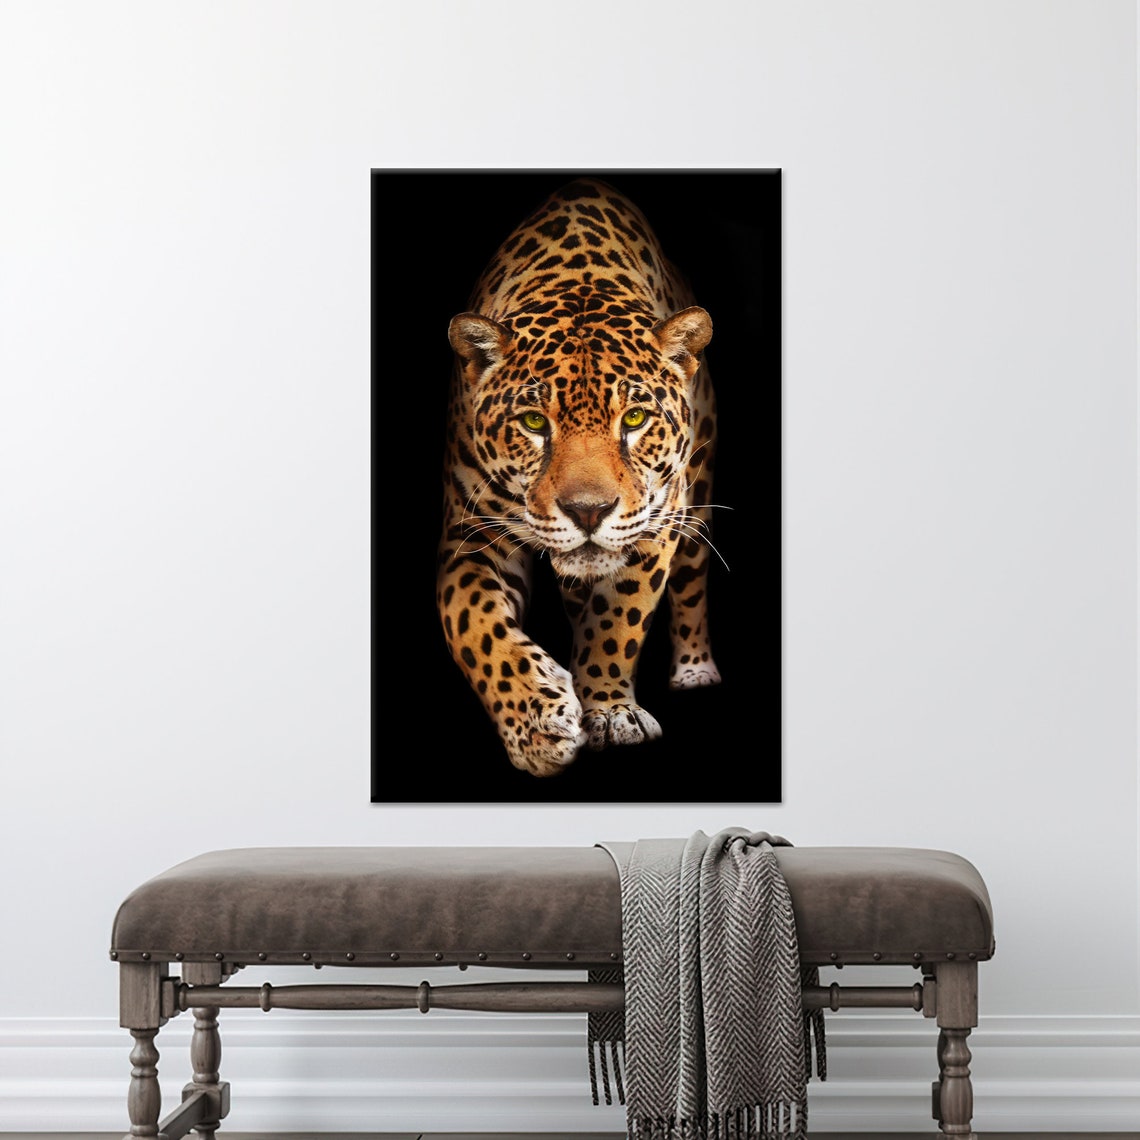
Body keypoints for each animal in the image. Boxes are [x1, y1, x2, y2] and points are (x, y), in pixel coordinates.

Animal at [437, 177, 721, 777]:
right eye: (533, 422)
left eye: (634, 419)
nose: (588, 511)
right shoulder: (470, 534)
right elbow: (474, 624)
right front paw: (537, 725)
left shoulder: (657, 521)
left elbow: (618, 618)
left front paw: (610, 710)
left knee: (691, 582)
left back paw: (695, 670)